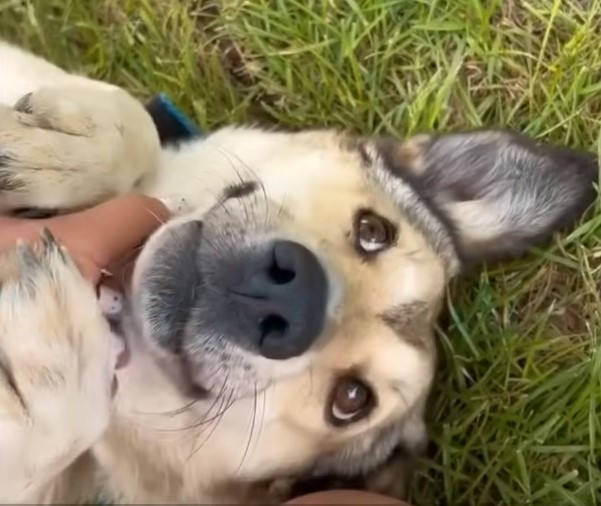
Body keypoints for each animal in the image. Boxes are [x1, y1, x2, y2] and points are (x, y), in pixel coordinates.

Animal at [0, 39, 596, 502]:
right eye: (373, 231)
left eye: (351, 401)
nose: (291, 298)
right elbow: (140, 125)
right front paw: (69, 149)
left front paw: (51, 375)